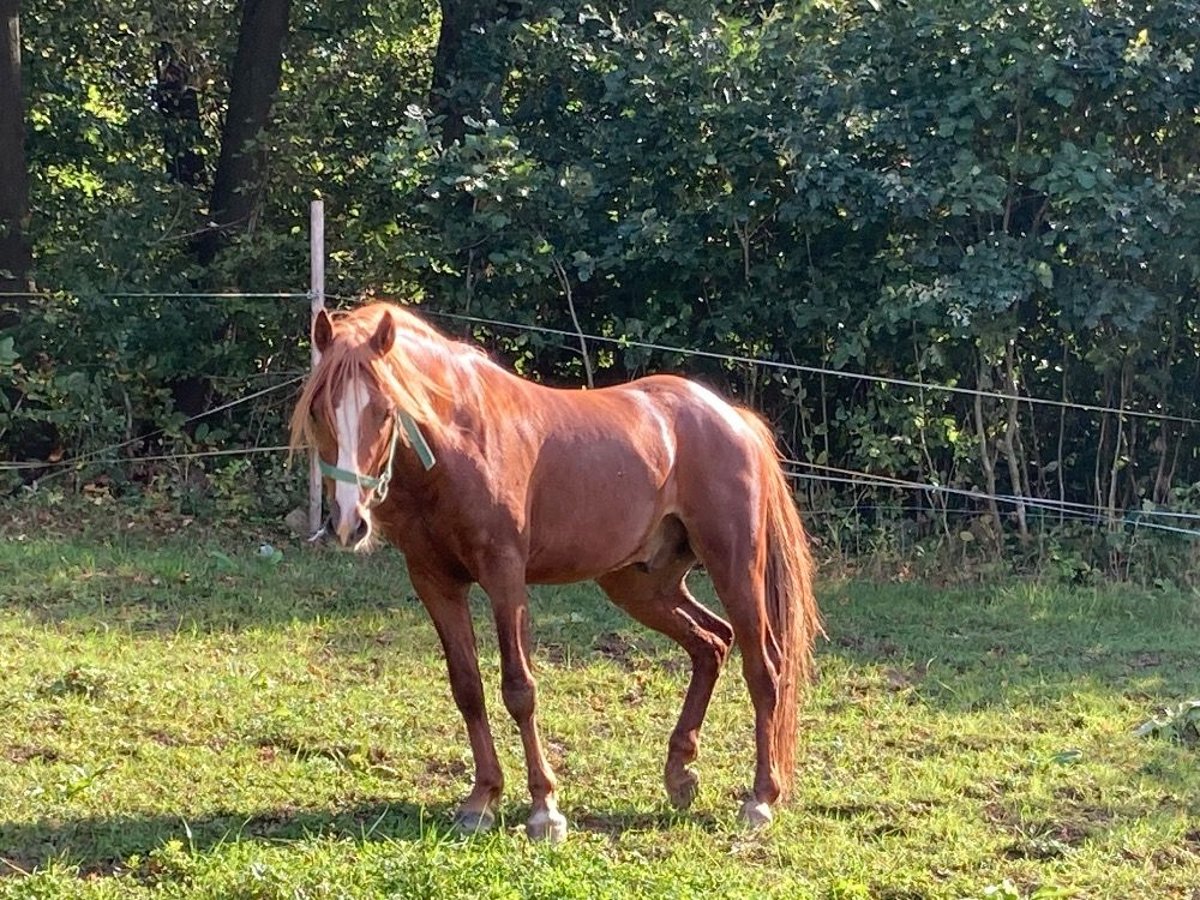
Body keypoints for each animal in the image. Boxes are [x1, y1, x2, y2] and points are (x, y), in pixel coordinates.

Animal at [288, 303, 825, 844]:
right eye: (318, 411)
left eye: (384, 409)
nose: (349, 522)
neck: (461, 440)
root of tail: (734, 419)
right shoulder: (434, 582)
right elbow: (467, 688)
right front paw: (481, 800)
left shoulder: (505, 577)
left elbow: (519, 690)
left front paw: (544, 808)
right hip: (641, 584)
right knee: (712, 642)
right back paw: (679, 774)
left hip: (734, 566)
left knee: (764, 668)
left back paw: (760, 798)